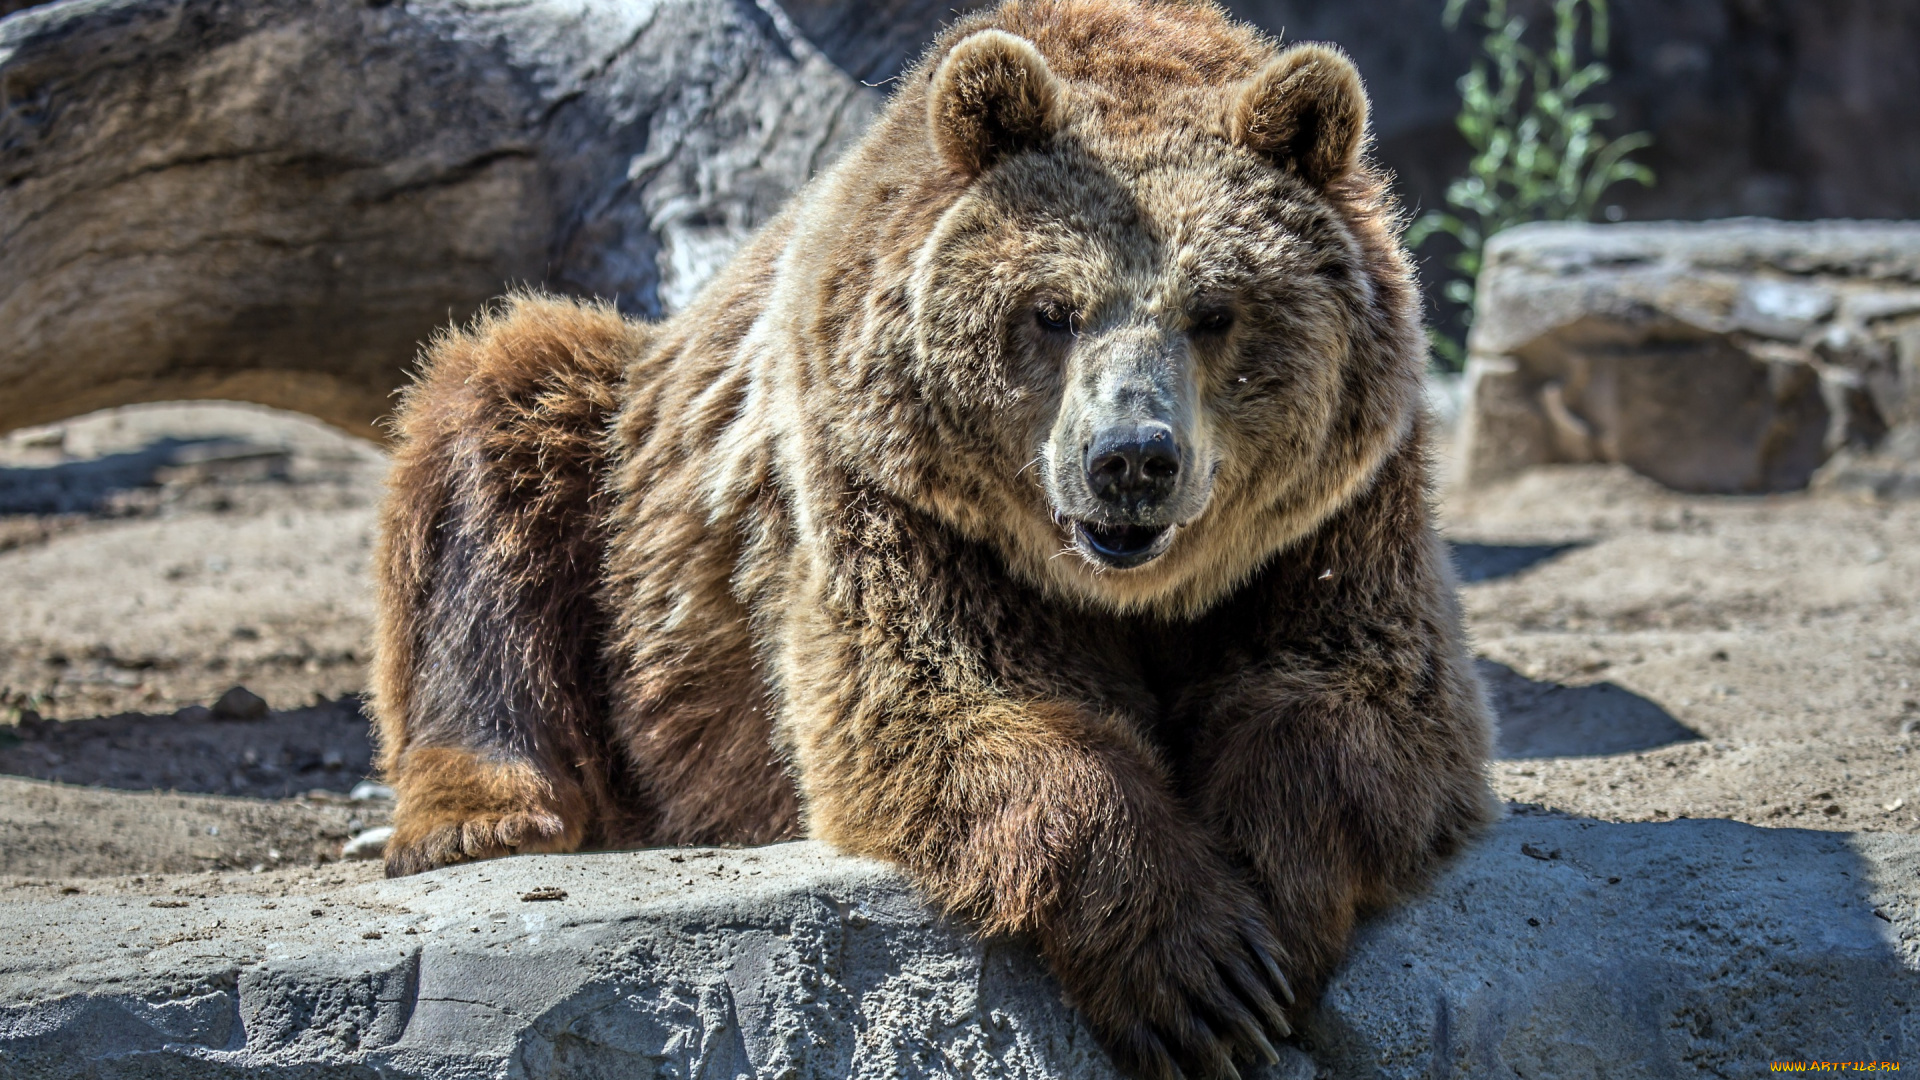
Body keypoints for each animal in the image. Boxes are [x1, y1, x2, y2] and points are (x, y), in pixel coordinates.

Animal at [362, 4, 1497, 1068]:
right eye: (1052, 309)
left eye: (1215, 310)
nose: (1131, 458)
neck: (1126, 589)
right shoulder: (890, 497)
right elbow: (941, 704)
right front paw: (1197, 969)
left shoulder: (1341, 515)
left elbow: (1357, 694)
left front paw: (1266, 912)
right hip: (619, 467)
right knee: (503, 416)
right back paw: (484, 813)